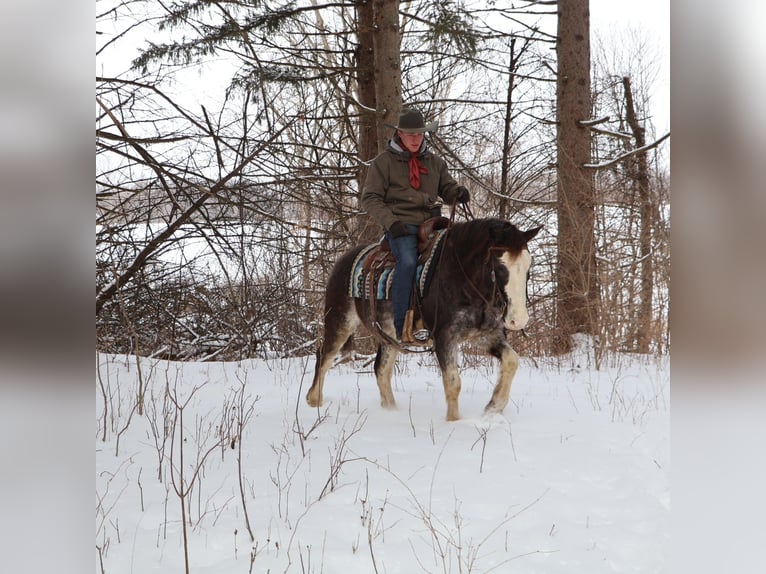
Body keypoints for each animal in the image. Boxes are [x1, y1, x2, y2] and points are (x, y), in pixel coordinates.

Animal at [305, 218, 542, 421]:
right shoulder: (444, 337)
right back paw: (314, 400)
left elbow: (512, 360)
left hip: (389, 335)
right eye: (500, 267)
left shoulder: (486, 335)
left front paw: (493, 407)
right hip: (339, 320)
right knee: (324, 356)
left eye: (528, 266)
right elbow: (453, 382)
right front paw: (454, 423)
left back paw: (391, 411)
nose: (518, 320)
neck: (462, 277)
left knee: (381, 369)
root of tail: (344, 259)